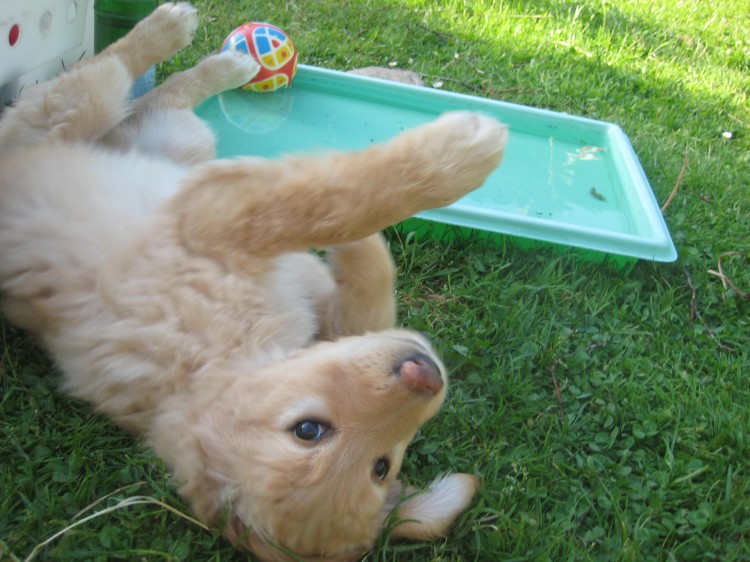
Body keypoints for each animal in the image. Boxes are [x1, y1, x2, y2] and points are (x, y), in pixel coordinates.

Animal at [0, 4, 507, 560]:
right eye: (309, 430)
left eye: (382, 467)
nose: (426, 374)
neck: (221, 363)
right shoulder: (215, 219)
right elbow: (332, 205)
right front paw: (458, 156)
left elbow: (370, 290)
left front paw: (363, 245)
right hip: (76, 115)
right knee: (103, 73)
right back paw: (179, 34)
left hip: (176, 145)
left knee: (157, 101)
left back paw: (218, 60)